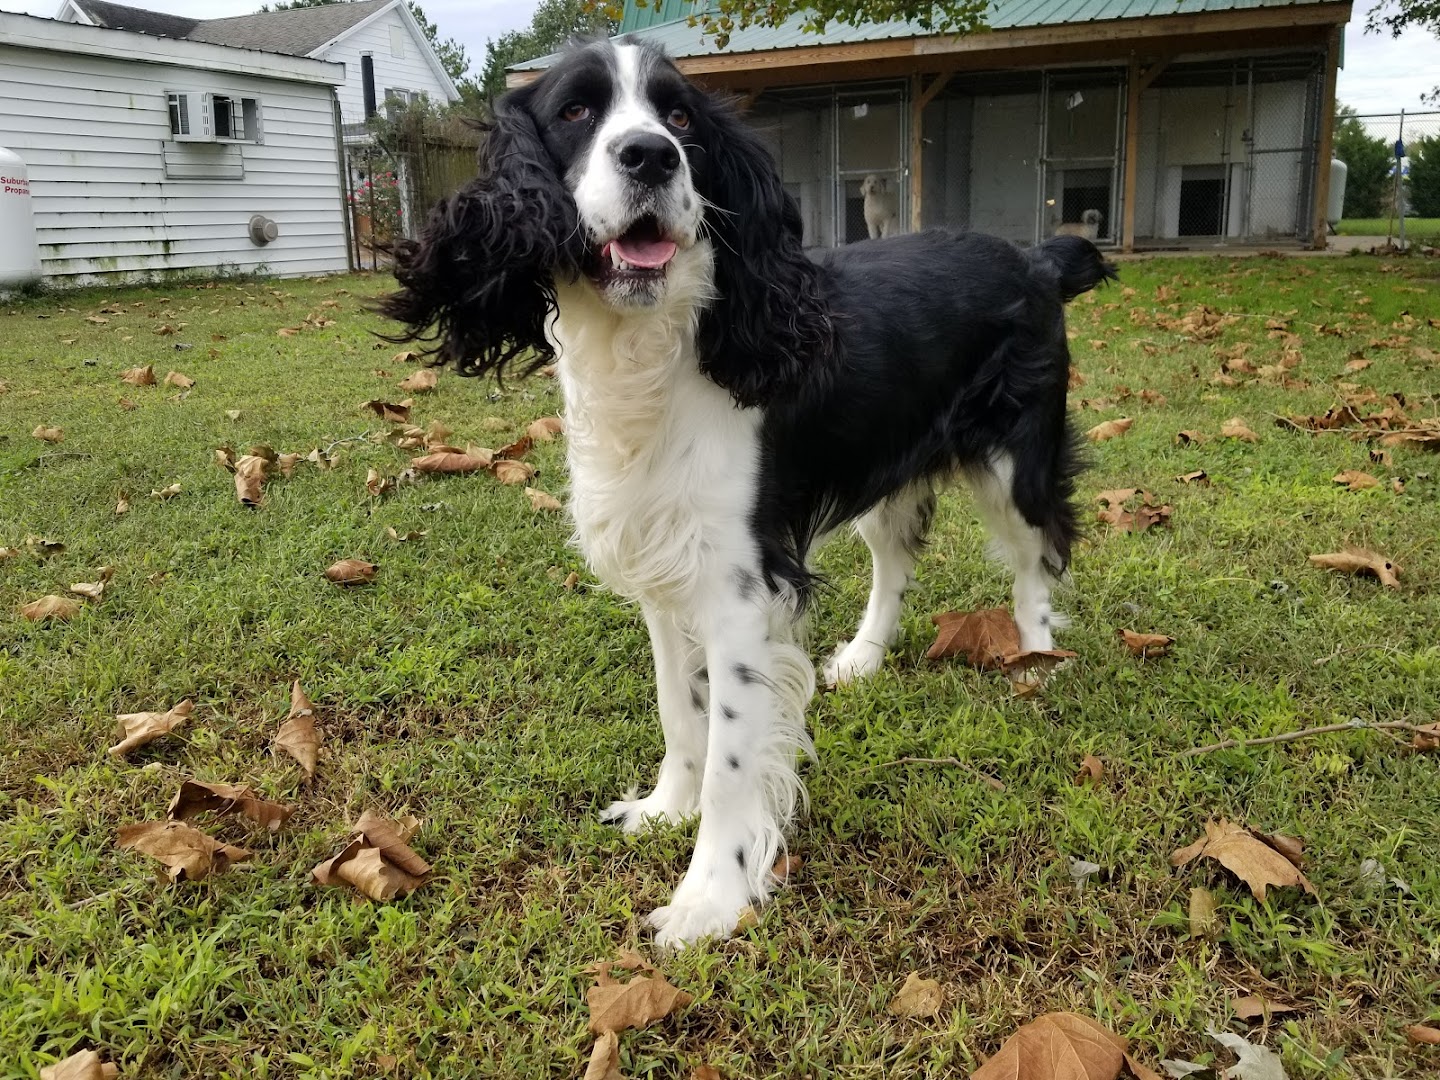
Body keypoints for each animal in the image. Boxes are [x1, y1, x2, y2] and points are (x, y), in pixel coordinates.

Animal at [383, 36, 1111, 944]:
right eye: (575, 111)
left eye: (680, 115)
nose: (651, 155)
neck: (656, 349)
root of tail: (1036, 256)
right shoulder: (666, 569)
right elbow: (680, 710)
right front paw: (667, 807)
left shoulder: (741, 588)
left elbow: (733, 757)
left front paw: (710, 896)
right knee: (896, 556)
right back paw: (865, 656)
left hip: (1017, 459)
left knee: (1037, 555)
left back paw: (1037, 659)